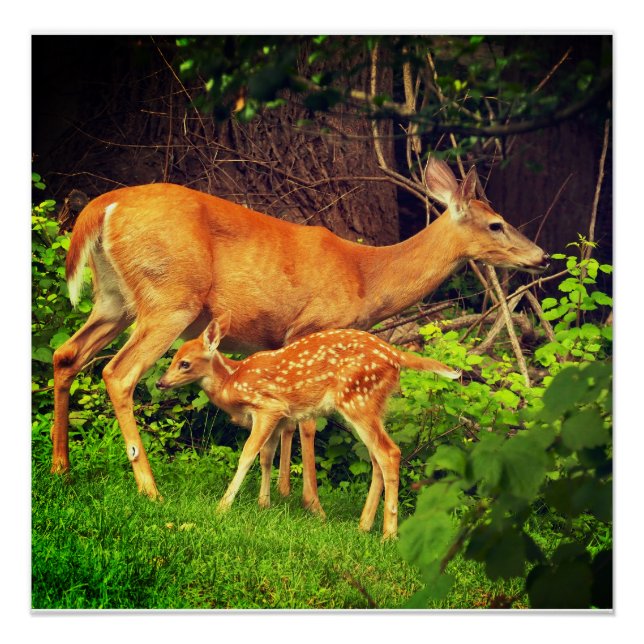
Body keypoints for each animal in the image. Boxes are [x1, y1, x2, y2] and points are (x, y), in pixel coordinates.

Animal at [51, 158, 549, 513]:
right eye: (496, 223)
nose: (541, 257)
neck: (366, 277)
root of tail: (103, 207)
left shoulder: (283, 343)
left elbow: (287, 423)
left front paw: (280, 494)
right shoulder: (316, 324)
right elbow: (309, 423)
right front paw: (312, 503)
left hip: (114, 299)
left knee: (66, 354)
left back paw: (61, 469)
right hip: (170, 298)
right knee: (119, 373)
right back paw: (148, 487)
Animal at [156, 311, 460, 538]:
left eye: (184, 363)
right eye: (173, 358)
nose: (160, 382)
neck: (232, 381)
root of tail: (396, 355)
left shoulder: (268, 407)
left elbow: (248, 455)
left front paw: (223, 506)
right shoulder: (280, 418)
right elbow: (267, 457)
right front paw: (264, 503)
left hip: (358, 400)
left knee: (390, 452)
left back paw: (388, 534)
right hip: (373, 405)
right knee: (377, 457)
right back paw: (363, 526)